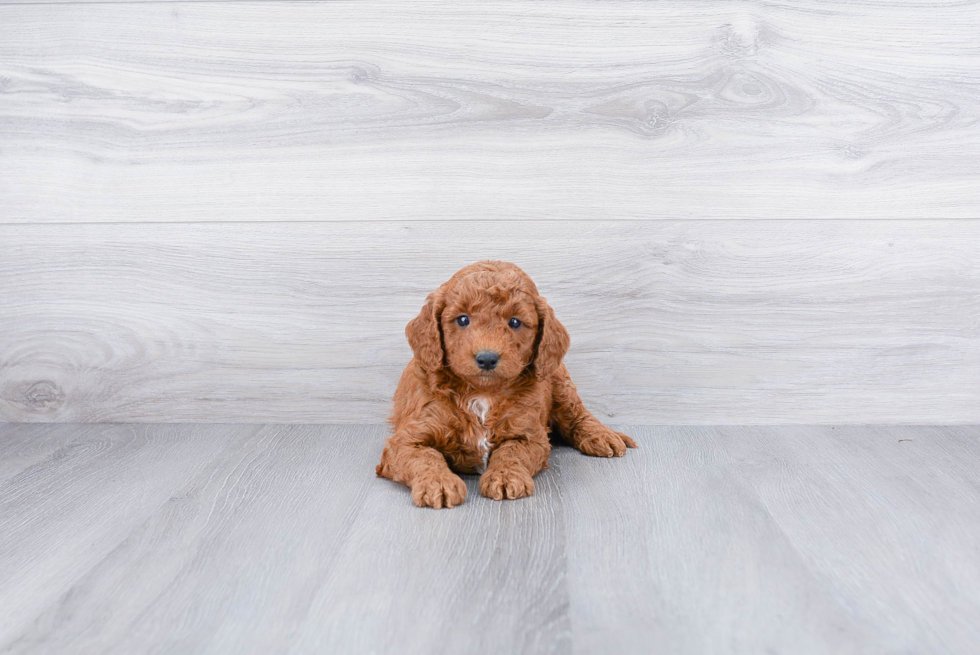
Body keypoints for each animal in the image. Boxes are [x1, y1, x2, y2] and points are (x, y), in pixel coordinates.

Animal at [376, 260, 636, 508]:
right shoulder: (407, 439)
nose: (487, 358)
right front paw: (438, 483)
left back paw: (603, 436)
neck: (481, 393)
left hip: (560, 383)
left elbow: (511, 452)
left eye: (515, 322)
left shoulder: (530, 435)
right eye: (462, 319)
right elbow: (426, 457)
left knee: (577, 414)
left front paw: (505, 477)